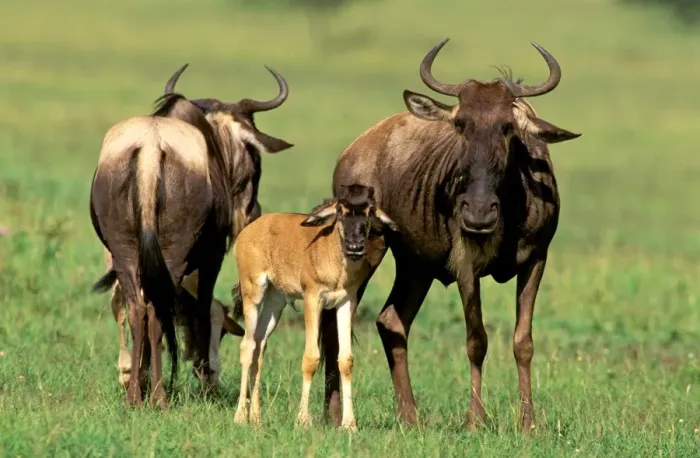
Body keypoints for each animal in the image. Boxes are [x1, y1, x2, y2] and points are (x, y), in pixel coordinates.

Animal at [90, 65, 293, 409]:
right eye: (255, 155)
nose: (254, 211)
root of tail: (150, 148)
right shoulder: (211, 257)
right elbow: (202, 309)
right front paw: (205, 380)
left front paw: (140, 375)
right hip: (172, 257)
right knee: (156, 310)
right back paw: (158, 396)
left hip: (125, 254)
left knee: (137, 308)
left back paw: (136, 395)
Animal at [231, 184, 398, 431]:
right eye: (340, 211)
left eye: (370, 211)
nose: (355, 247)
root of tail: (248, 232)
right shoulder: (312, 299)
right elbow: (311, 358)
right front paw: (302, 420)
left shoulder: (346, 302)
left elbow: (346, 360)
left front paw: (350, 424)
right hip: (253, 293)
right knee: (247, 346)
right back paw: (240, 417)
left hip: (275, 302)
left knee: (260, 345)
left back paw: (257, 418)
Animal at [323, 38, 581, 432]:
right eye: (460, 123)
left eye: (508, 126)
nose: (477, 213)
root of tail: (351, 153)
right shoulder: (466, 265)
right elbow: (477, 339)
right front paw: (475, 420)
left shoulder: (537, 259)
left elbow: (523, 341)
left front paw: (528, 424)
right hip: (362, 252)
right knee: (335, 324)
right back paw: (333, 416)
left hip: (415, 265)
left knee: (391, 321)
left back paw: (409, 417)